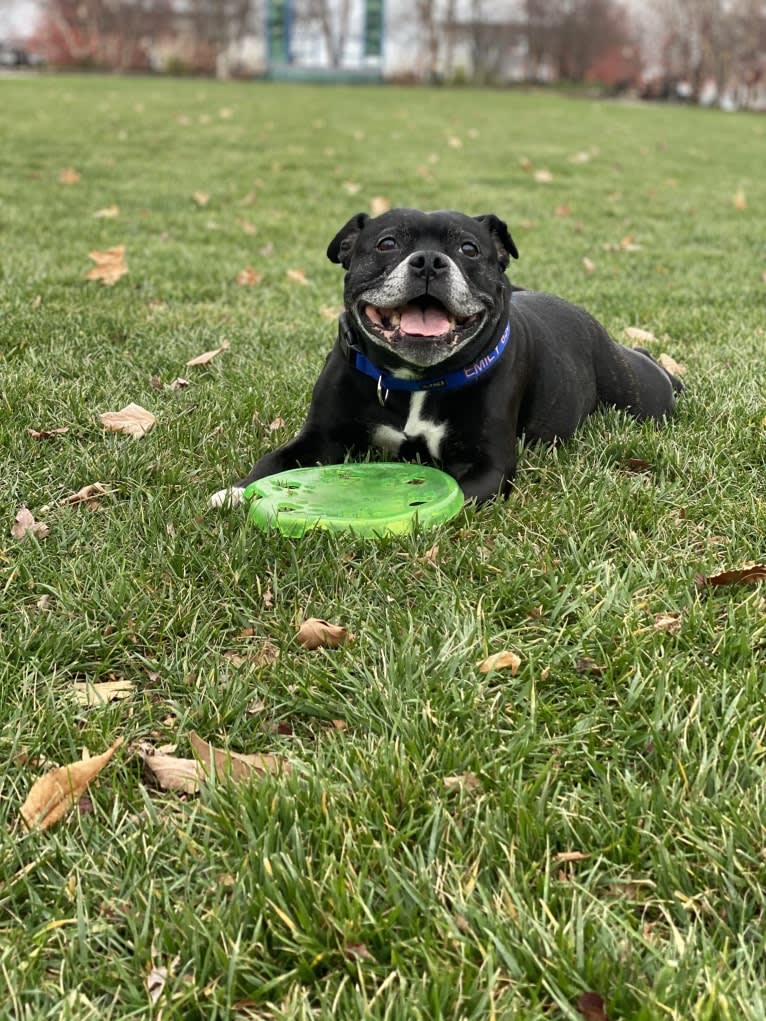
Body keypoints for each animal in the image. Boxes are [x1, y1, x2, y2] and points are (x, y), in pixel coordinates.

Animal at [211, 208, 682, 510]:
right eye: (386, 243)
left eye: (469, 250)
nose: (429, 261)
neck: (414, 379)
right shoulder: (320, 438)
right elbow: (272, 463)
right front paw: (235, 493)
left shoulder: (487, 465)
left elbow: (454, 493)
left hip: (640, 394)